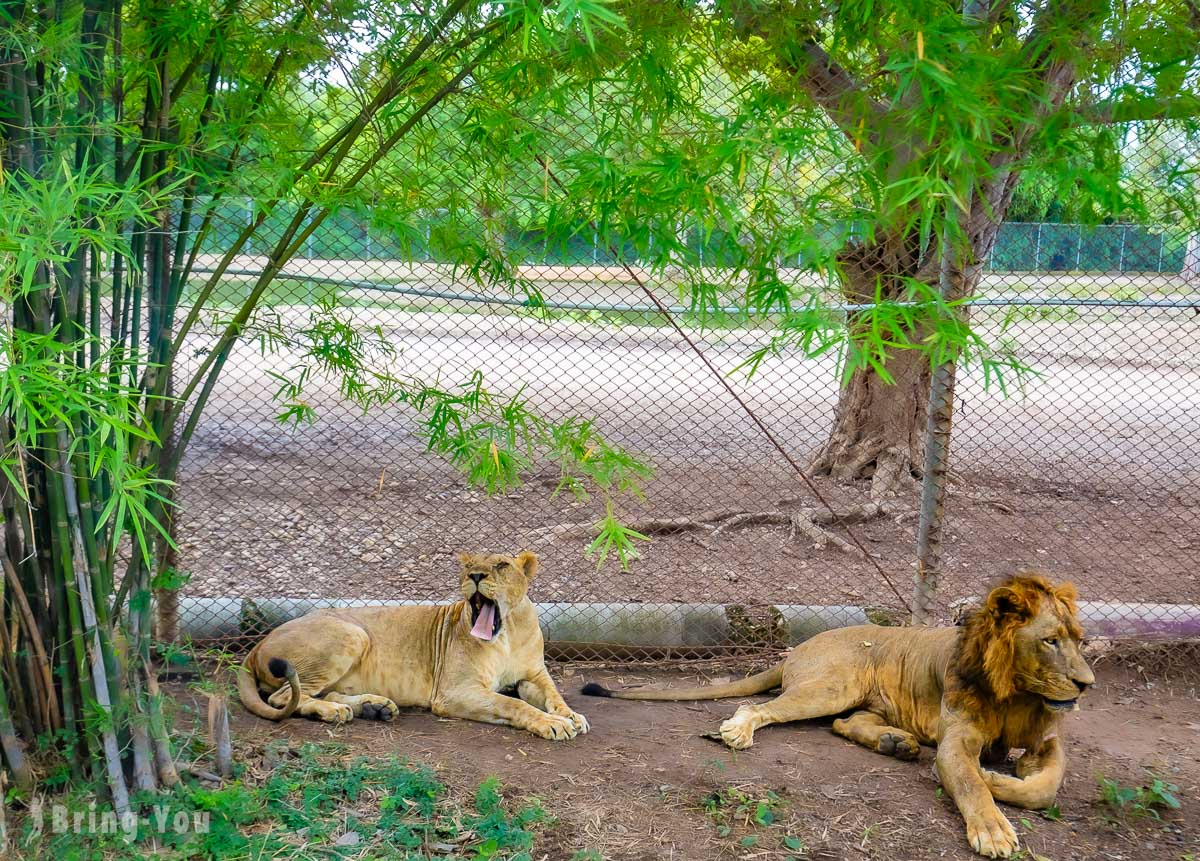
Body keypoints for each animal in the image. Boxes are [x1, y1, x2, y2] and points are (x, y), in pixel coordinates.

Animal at [236, 554, 588, 743]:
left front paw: (571, 716)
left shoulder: (532, 675)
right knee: (284, 697)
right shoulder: (453, 692)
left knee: (318, 692)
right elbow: (513, 704)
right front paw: (552, 724)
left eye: (501, 565)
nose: (475, 575)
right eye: (469, 566)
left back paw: (374, 707)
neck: (508, 632)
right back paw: (337, 711)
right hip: (352, 633)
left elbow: (554, 695)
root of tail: (256, 646)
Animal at [580, 575, 1099, 858]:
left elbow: (1046, 786)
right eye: (1050, 641)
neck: (1019, 696)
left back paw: (898, 744)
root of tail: (798, 648)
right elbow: (969, 783)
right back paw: (738, 732)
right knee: (766, 708)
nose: (1086, 684)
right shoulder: (957, 738)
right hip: (831, 687)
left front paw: (1001, 779)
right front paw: (992, 822)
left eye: (1080, 640)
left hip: (862, 700)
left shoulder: (1048, 741)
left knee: (846, 724)